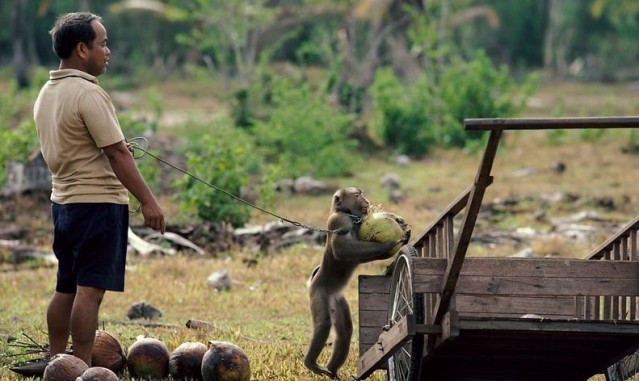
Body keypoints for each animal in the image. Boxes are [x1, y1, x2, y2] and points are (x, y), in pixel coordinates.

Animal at [304, 186, 410, 378]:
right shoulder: (339, 221)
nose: (366, 200)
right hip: (318, 291)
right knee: (324, 323)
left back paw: (332, 371)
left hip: (337, 300)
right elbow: (342, 248)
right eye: (357, 195)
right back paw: (310, 362)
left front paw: (398, 220)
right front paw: (389, 244)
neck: (347, 214)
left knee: (345, 332)